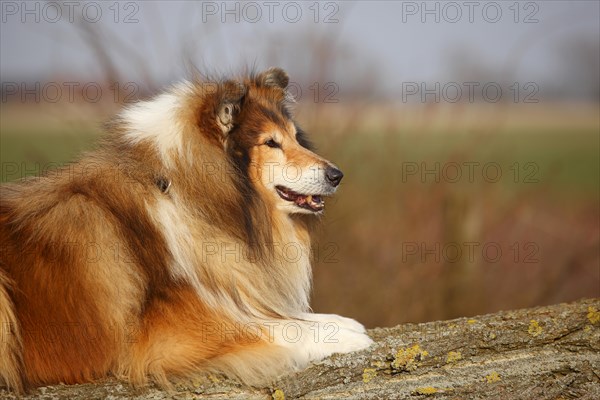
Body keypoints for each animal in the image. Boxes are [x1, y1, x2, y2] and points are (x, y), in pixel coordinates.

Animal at [0, 68, 372, 390]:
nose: (337, 175)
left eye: (296, 138)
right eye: (271, 143)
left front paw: (343, 322)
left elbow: (278, 315)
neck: (185, 195)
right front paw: (346, 335)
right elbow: (273, 328)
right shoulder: (166, 336)